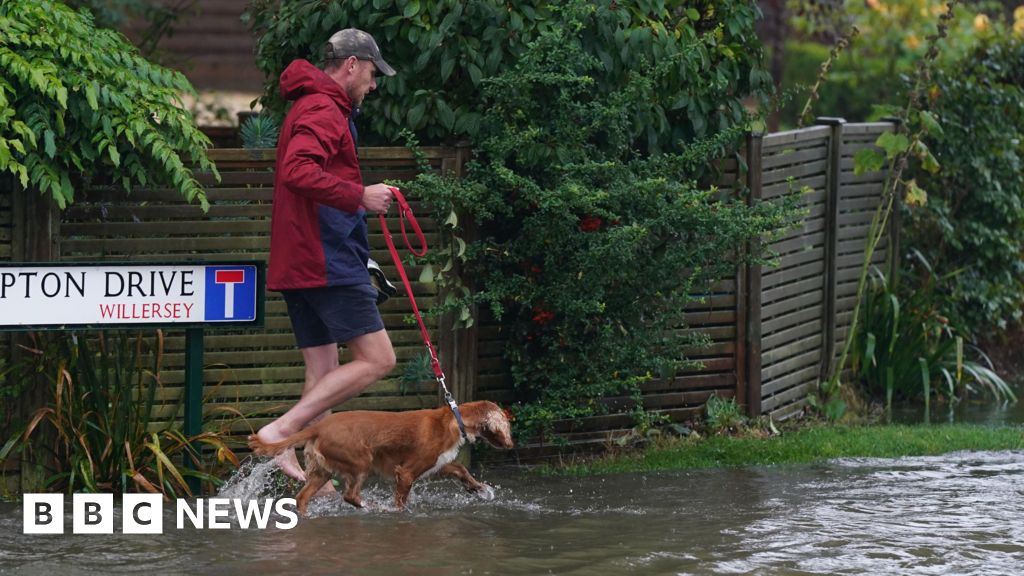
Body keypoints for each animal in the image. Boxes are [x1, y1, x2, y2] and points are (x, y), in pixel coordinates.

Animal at [246, 399, 516, 510]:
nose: (511, 445)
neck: (453, 419)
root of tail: (319, 426)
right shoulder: (406, 472)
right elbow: (400, 503)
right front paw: (396, 512)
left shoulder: (437, 464)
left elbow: (460, 469)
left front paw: (478, 488)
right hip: (361, 461)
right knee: (351, 495)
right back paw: (373, 506)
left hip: (323, 471)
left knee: (302, 497)